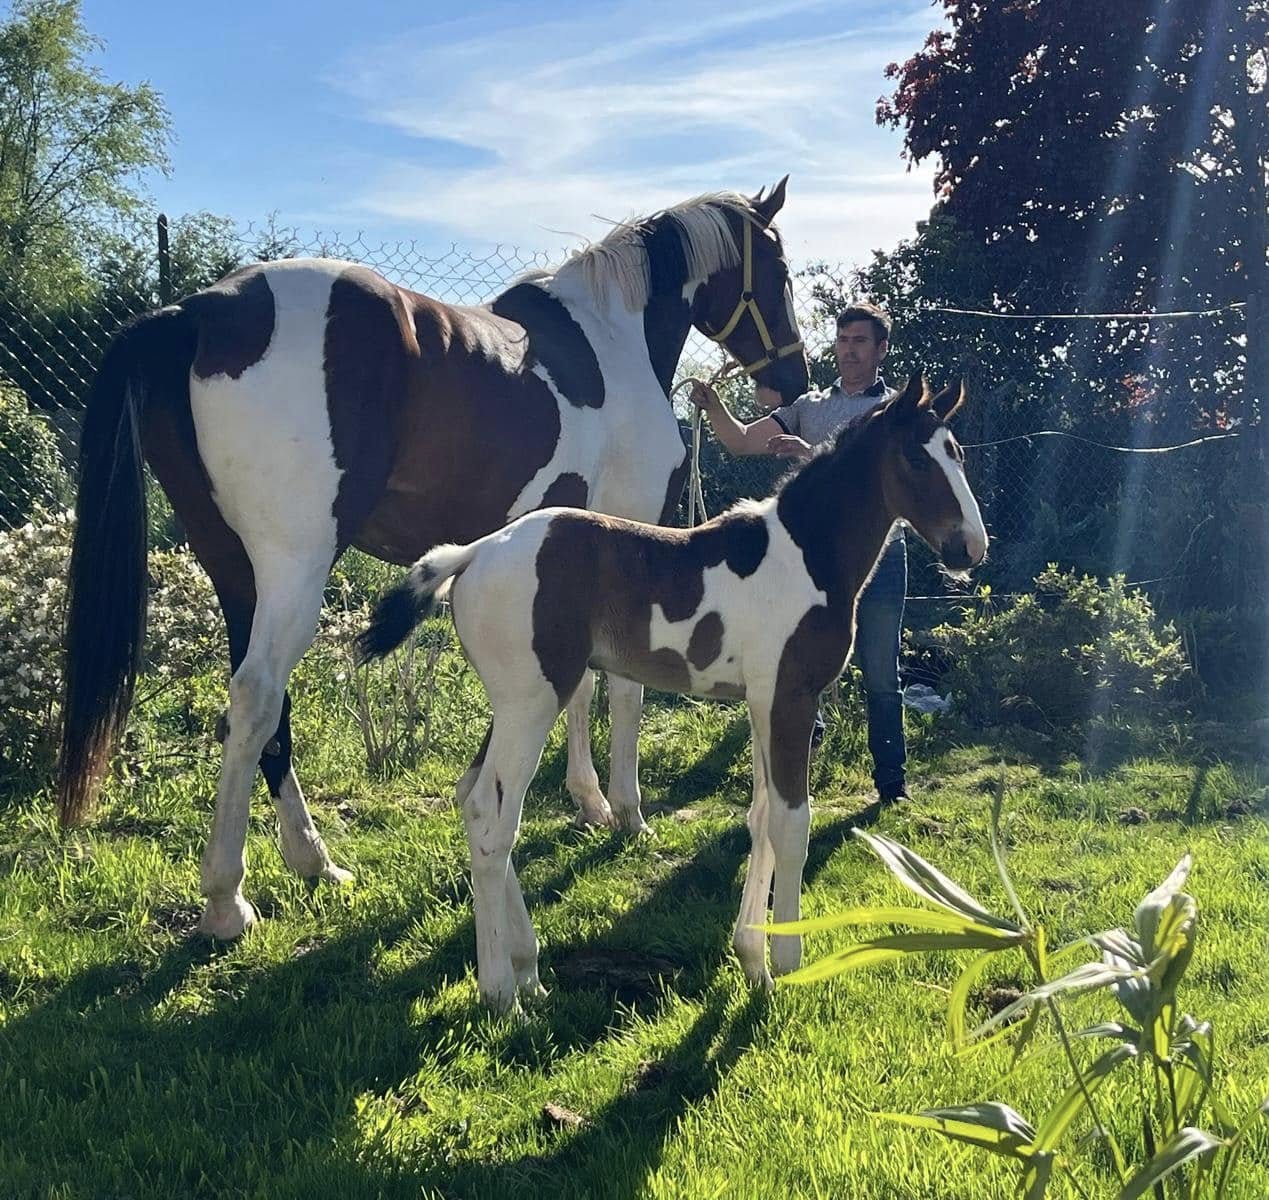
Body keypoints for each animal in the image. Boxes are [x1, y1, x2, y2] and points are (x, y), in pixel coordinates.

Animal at [58, 180, 810, 940]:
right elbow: (623, 689)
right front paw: (626, 813)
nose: (794, 380)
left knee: (266, 710)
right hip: (294, 568)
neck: (612, 337)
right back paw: (227, 899)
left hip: (234, 570)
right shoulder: (632, 540)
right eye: (777, 269)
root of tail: (195, 313)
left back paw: (312, 861)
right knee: (256, 700)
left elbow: (581, 685)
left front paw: (588, 803)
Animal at [357, 374, 988, 1012]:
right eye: (916, 458)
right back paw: (501, 991)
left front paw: (754, 961)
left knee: (470, 800)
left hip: (517, 703)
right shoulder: (791, 699)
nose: (971, 548)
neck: (805, 557)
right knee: (493, 821)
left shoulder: (763, 704)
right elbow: (792, 825)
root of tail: (474, 553)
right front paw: (788, 964)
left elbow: (761, 817)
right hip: (531, 706)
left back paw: (529, 970)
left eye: (958, 453)